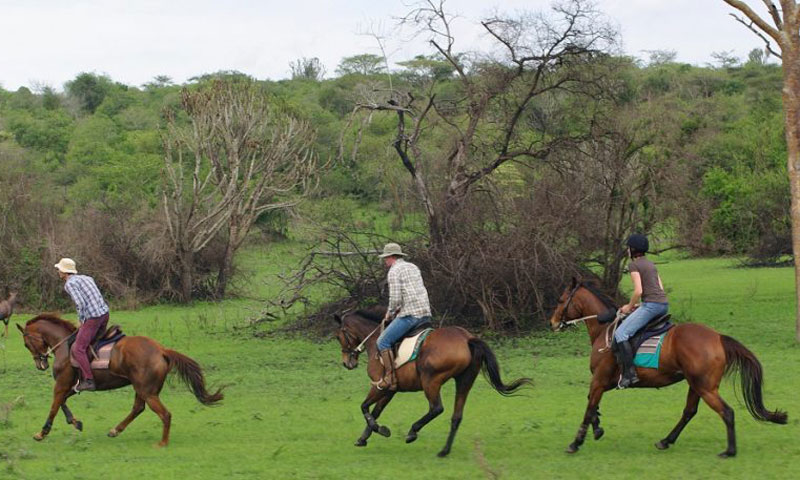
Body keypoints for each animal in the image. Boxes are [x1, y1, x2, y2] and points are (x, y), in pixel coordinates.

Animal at [17, 316, 223, 446]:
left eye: (26, 344)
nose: (40, 364)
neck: (64, 345)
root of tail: (161, 350)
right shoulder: (70, 386)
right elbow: (63, 403)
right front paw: (75, 422)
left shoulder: (61, 384)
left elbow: (54, 406)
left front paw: (42, 433)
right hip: (142, 389)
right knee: (138, 408)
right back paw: (115, 430)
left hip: (147, 391)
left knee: (165, 414)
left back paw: (162, 443)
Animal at [334, 308, 536, 458]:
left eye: (338, 336)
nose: (347, 363)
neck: (376, 341)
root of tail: (467, 339)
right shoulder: (390, 390)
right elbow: (376, 410)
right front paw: (363, 438)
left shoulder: (378, 385)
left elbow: (365, 407)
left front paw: (380, 429)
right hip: (464, 381)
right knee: (456, 416)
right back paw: (444, 451)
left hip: (430, 381)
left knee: (436, 408)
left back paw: (412, 432)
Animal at [552, 278, 788, 458]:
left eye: (561, 300)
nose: (553, 322)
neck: (604, 330)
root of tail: (718, 337)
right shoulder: (605, 382)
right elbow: (592, 404)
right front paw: (598, 427)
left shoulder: (600, 380)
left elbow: (589, 407)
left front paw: (576, 442)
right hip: (696, 385)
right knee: (689, 412)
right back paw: (666, 440)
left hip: (705, 388)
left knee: (727, 412)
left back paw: (729, 451)